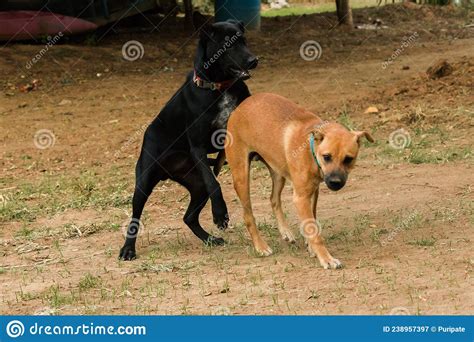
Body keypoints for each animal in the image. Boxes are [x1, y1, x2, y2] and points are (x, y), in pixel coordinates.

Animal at [120, 12, 258, 260]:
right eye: (227, 44)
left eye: (244, 40)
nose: (254, 60)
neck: (219, 87)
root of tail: (168, 172)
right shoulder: (198, 147)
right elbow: (215, 184)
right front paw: (220, 214)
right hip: (144, 181)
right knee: (135, 216)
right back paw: (128, 249)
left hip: (197, 185)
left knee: (189, 217)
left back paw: (210, 240)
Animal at [226, 93, 374, 270]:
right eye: (327, 157)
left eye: (348, 159)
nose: (335, 182)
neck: (311, 150)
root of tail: (242, 104)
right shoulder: (301, 197)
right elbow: (314, 231)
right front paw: (326, 258)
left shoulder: (313, 192)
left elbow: (311, 223)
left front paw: (311, 247)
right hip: (241, 176)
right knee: (248, 215)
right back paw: (260, 246)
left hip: (278, 172)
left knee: (274, 199)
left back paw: (285, 231)